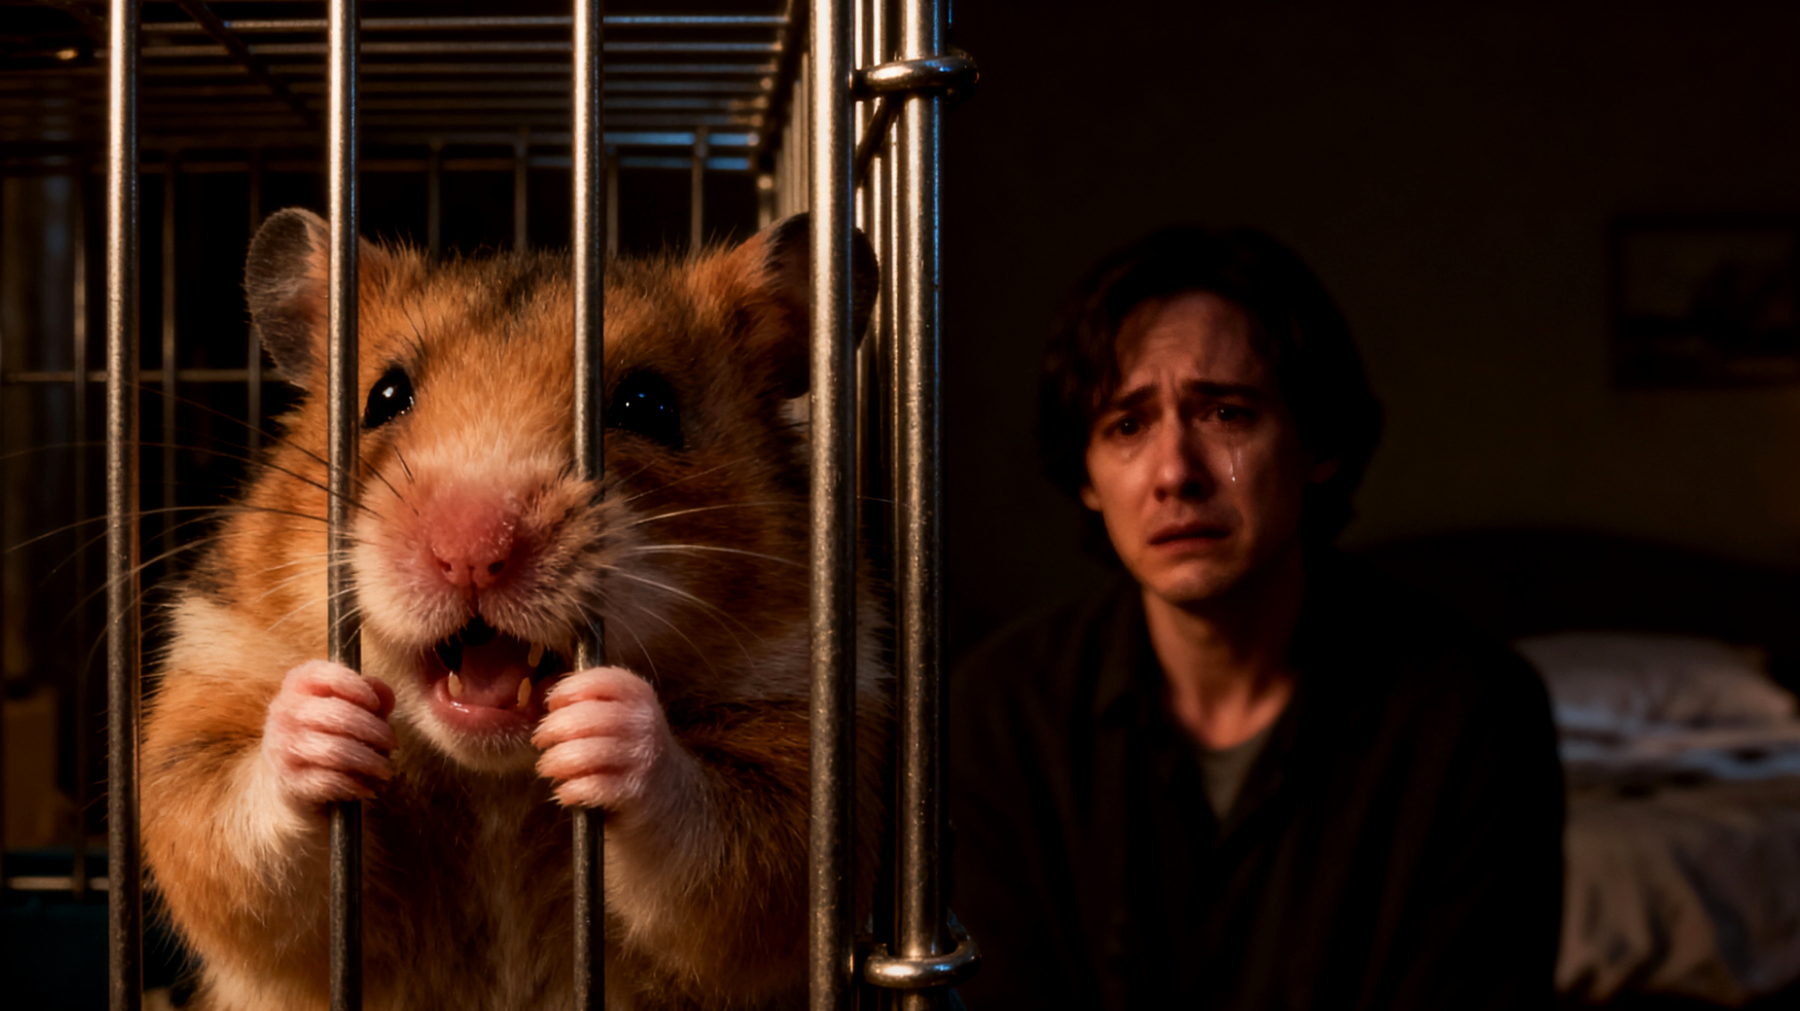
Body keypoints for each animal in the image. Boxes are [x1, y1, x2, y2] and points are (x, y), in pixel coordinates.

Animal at [140, 207, 888, 1011]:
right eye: (383, 396)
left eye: (650, 406)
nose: (471, 551)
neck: (492, 780)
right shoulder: (211, 686)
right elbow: (219, 831)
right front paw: (326, 711)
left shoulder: (810, 763)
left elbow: (725, 849)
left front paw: (604, 721)